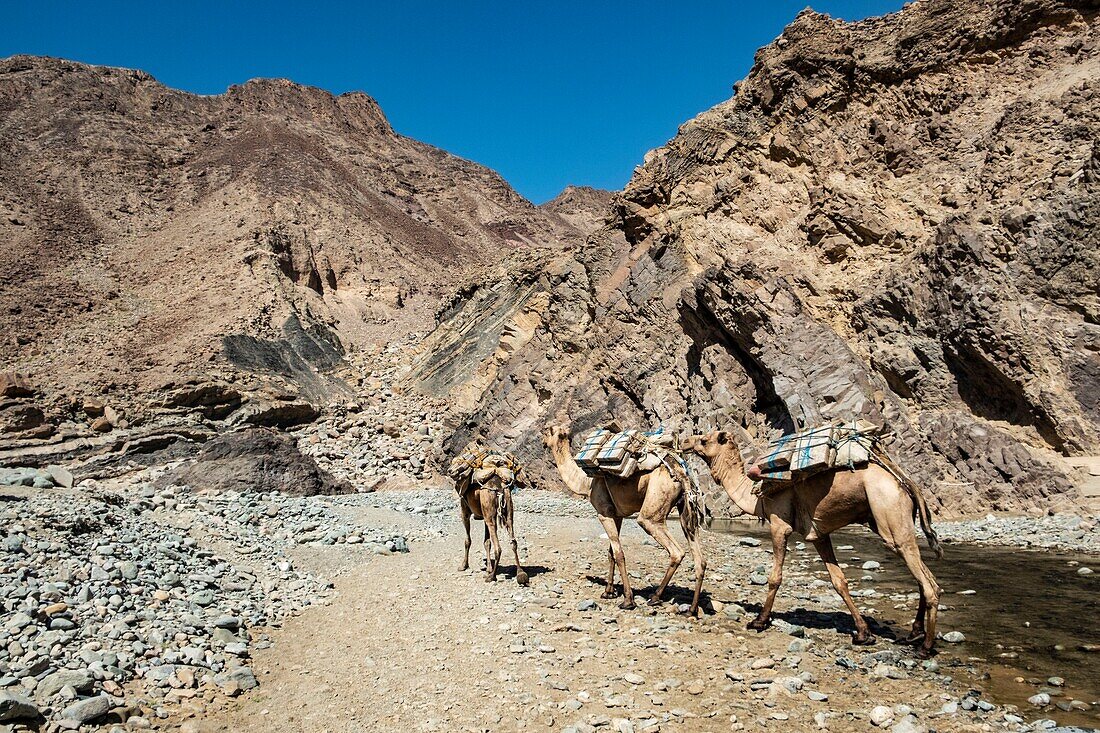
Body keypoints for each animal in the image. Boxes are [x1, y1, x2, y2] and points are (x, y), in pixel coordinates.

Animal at [539, 424, 704, 611]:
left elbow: (619, 554)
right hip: (685, 511)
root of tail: (680, 473)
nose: (542, 441)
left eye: (547, 431)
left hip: (653, 508)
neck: (585, 483)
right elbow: (611, 552)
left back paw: (655, 597)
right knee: (700, 558)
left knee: (675, 550)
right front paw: (608, 592)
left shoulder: (603, 513)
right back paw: (691, 609)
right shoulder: (616, 515)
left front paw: (627, 600)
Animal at [682, 424, 941, 651]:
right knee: (925, 577)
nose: (685, 442)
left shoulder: (779, 524)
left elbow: (775, 577)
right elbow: (839, 581)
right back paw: (914, 633)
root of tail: (903, 480)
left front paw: (759, 620)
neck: (756, 495)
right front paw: (863, 633)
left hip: (889, 513)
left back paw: (926, 646)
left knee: (928, 582)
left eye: (704, 440)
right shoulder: (818, 534)